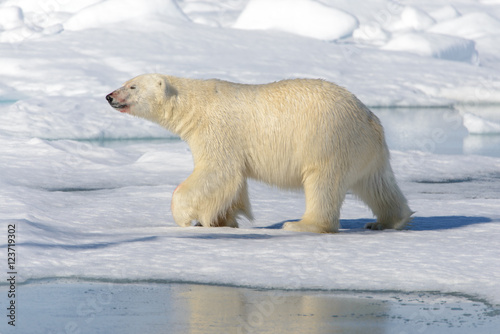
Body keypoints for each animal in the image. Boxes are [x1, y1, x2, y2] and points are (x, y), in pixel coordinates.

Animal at [104, 74, 410, 234]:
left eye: (132, 86)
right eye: (126, 81)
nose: (109, 96)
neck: (196, 104)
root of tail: (370, 119)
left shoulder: (217, 130)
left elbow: (217, 171)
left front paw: (186, 218)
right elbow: (233, 182)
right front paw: (223, 220)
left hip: (328, 140)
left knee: (323, 183)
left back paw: (300, 224)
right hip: (365, 151)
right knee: (378, 185)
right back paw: (387, 221)